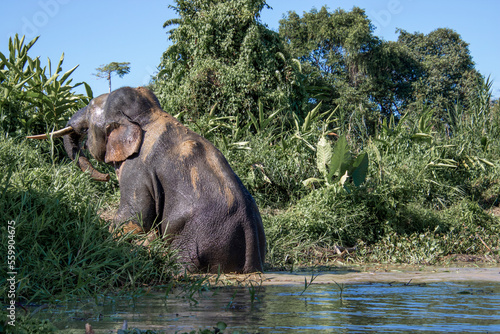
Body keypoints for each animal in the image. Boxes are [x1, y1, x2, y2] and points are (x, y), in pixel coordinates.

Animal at [27, 86, 266, 274]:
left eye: (91, 107)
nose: (105, 176)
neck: (147, 115)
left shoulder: (137, 168)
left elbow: (135, 217)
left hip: (195, 237)